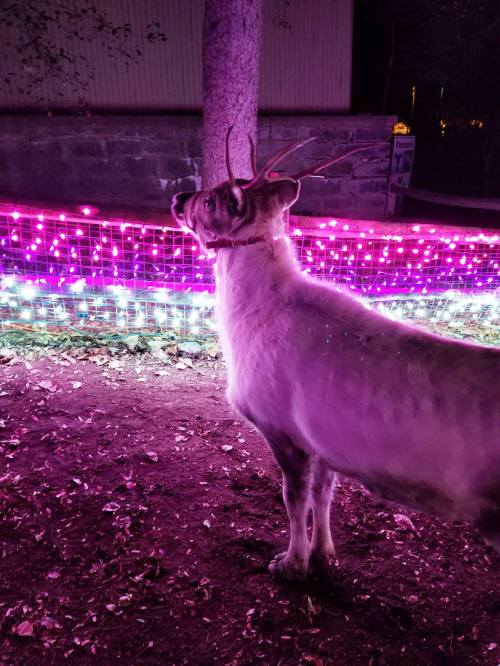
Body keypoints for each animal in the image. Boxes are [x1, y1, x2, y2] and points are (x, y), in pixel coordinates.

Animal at [172, 128, 500, 580]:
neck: (249, 314)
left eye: (210, 202)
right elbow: (323, 496)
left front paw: (291, 563)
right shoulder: (323, 440)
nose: (179, 197)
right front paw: (324, 555)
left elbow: (294, 500)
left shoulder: (282, 428)